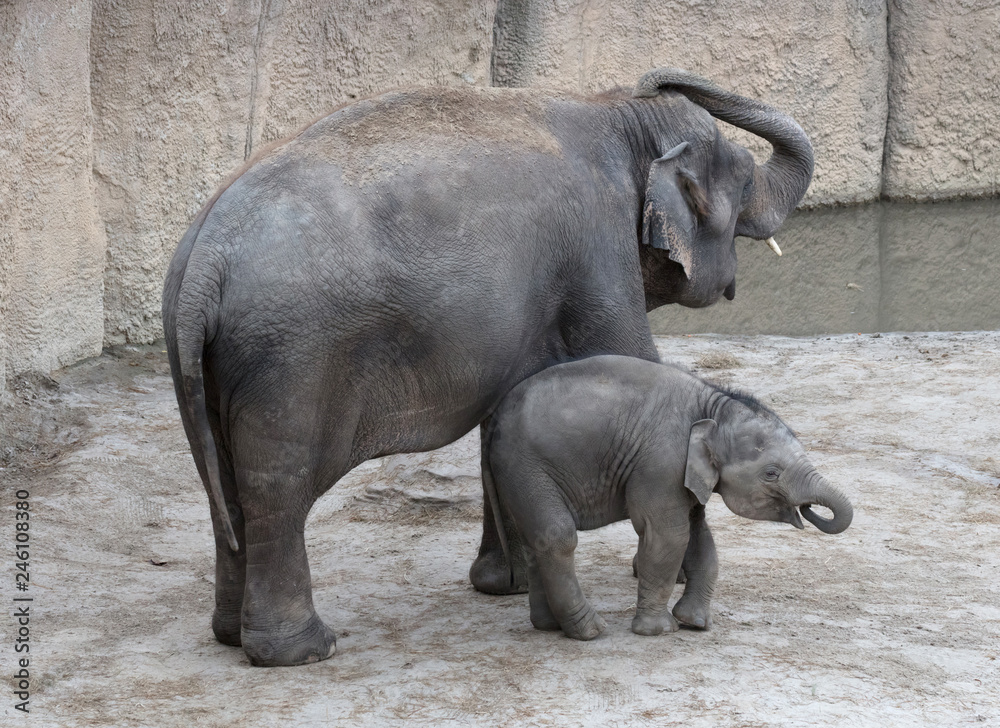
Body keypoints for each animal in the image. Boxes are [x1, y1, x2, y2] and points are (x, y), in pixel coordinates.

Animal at [162, 67, 814, 666]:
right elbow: (630, 362)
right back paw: (303, 651)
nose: (658, 76)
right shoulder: (598, 252)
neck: (613, 110)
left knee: (223, 486)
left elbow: (509, 418)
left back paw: (232, 636)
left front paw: (505, 586)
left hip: (207, 358)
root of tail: (206, 256)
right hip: (290, 358)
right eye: (746, 181)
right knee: (279, 488)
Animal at [483, 355, 853, 640]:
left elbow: (699, 536)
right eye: (771, 473)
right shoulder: (661, 464)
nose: (808, 509)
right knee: (557, 536)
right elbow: (669, 535)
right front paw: (658, 631)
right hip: (527, 467)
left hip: (520, 476)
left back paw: (549, 626)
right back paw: (590, 631)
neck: (714, 404)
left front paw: (696, 623)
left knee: (535, 540)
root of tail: (494, 422)